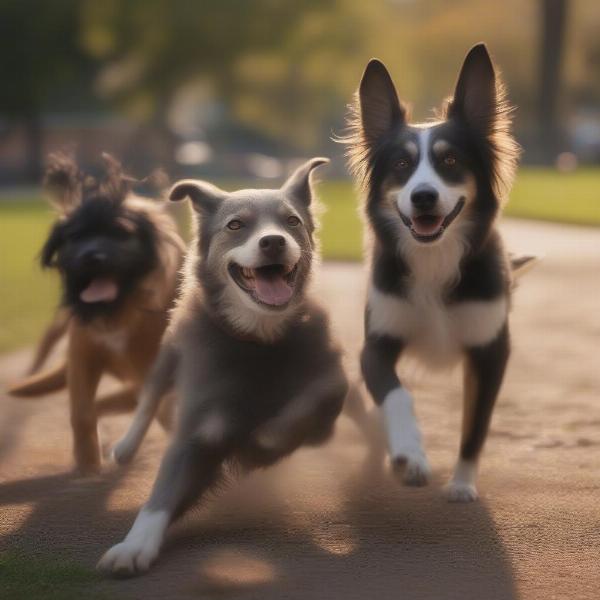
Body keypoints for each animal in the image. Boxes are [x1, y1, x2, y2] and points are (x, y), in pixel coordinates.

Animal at [7, 154, 185, 474]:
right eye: (76, 237)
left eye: (120, 233)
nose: (91, 256)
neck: (119, 310)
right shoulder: (83, 353)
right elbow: (82, 411)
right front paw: (87, 462)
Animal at [97, 157, 346, 576]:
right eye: (235, 225)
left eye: (292, 221)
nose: (273, 241)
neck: (257, 340)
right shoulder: (196, 428)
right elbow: (162, 492)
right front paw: (133, 546)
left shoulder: (329, 390)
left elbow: (313, 399)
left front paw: (266, 437)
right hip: (168, 355)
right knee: (148, 399)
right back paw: (125, 447)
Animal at [344, 43, 536, 502]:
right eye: (400, 164)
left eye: (450, 159)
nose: (424, 196)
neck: (434, 259)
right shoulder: (376, 345)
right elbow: (396, 395)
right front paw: (409, 455)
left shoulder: (489, 353)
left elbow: (476, 424)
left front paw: (462, 483)